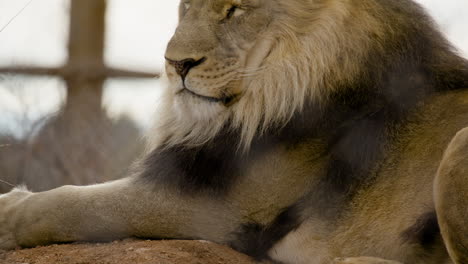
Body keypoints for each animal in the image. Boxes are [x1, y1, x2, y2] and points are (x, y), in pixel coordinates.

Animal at [0, 0, 468, 264]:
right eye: (186, 4)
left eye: (236, 9)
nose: (176, 63)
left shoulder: (213, 209)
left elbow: (72, 205)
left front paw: (8, 212)